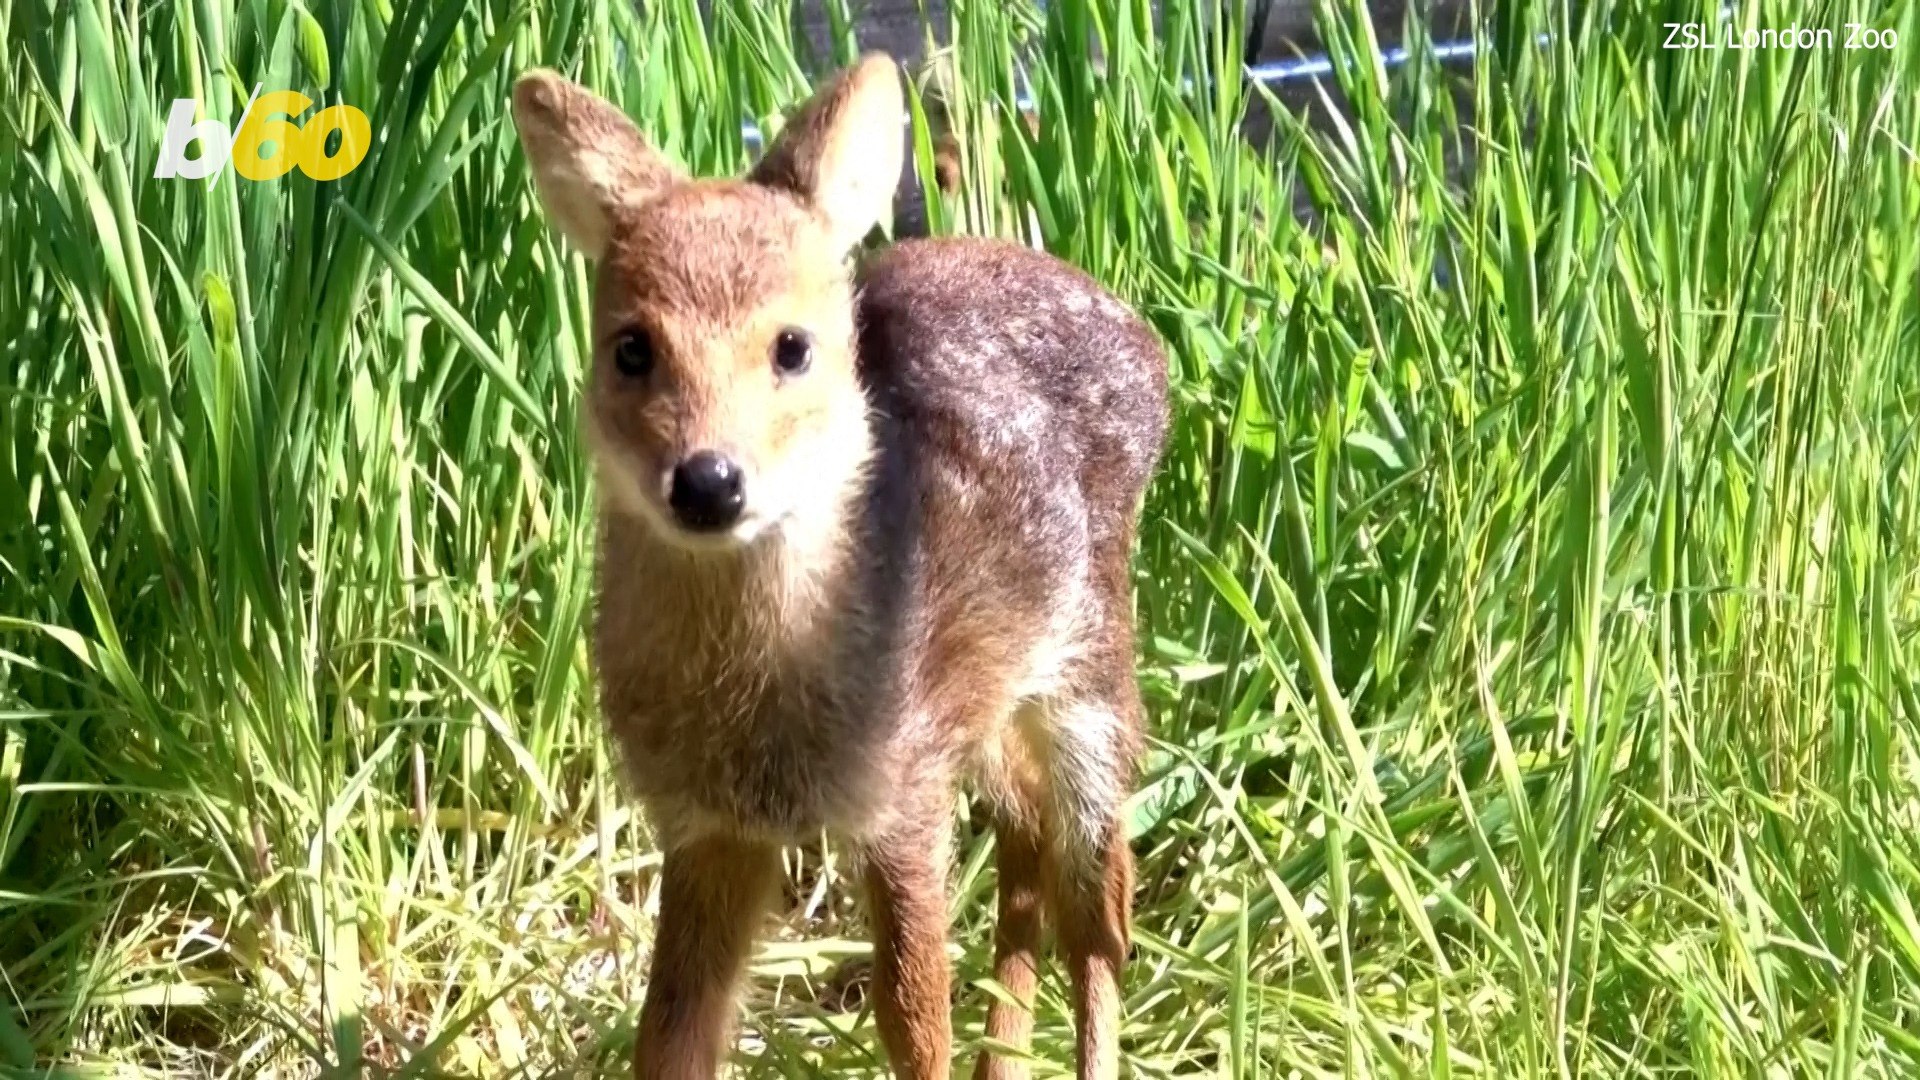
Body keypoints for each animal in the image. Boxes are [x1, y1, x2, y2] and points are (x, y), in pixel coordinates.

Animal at [509, 51, 1169, 1080]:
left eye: (792, 346)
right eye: (631, 348)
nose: (708, 481)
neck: (761, 717)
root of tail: (1151, 346)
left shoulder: (900, 800)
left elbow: (914, 1023)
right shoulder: (707, 826)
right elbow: (674, 1033)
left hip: (1091, 680)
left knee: (1100, 902)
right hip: (987, 713)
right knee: (1026, 848)